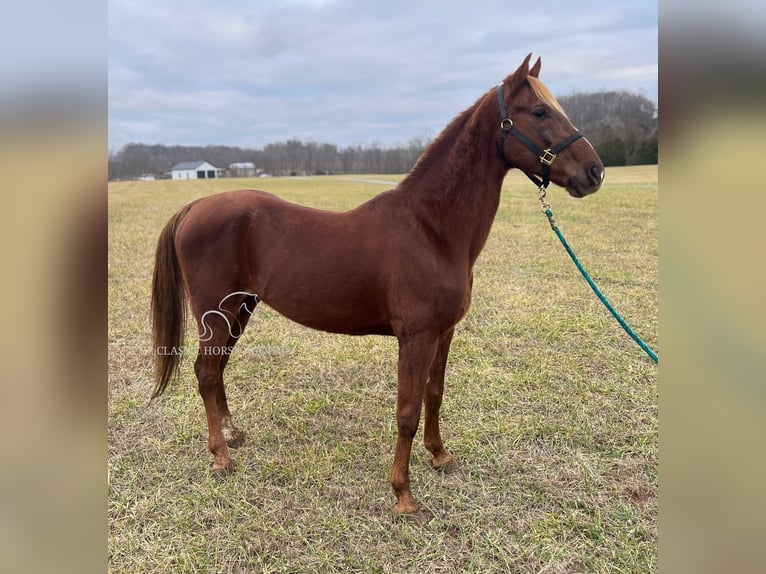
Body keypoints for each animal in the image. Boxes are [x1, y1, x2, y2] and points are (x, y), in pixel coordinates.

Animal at [150, 54, 608, 520]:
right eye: (540, 112)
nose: (595, 173)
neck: (431, 229)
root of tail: (195, 205)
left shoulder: (444, 332)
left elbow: (434, 394)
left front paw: (440, 456)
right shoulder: (416, 337)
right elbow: (407, 411)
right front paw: (404, 495)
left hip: (240, 309)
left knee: (217, 369)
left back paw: (232, 434)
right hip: (216, 313)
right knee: (206, 373)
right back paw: (221, 458)